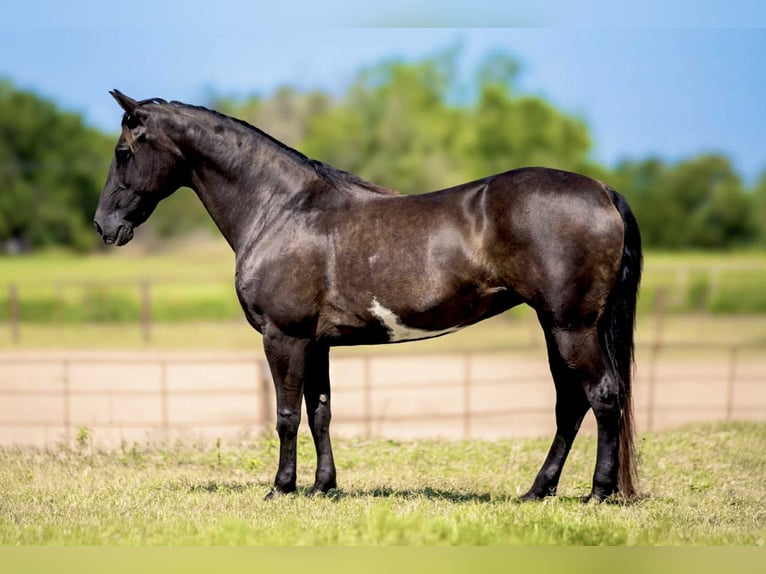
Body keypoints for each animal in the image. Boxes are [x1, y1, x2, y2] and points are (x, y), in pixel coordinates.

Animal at [94, 90, 642, 502]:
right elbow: (320, 412)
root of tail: (602, 190)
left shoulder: (283, 337)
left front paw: (281, 488)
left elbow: (286, 416)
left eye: (123, 152)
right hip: (557, 326)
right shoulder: (315, 343)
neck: (282, 210)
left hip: (571, 327)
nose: (104, 225)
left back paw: (598, 493)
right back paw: (537, 491)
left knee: (601, 395)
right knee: (571, 403)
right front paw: (322, 487)